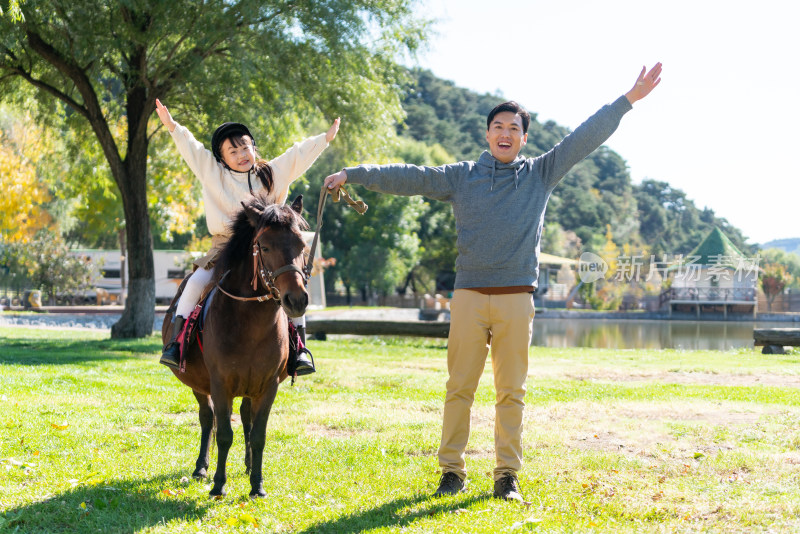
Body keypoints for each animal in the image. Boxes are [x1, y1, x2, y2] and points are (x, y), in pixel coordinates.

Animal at [162, 194, 310, 498]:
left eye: (302, 245)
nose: (297, 300)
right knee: (207, 419)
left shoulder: (268, 386)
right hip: (199, 384)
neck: (250, 326)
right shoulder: (220, 384)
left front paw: (257, 484)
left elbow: (258, 434)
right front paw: (219, 484)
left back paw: (248, 465)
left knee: (245, 418)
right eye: (264, 246)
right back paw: (201, 467)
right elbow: (223, 434)